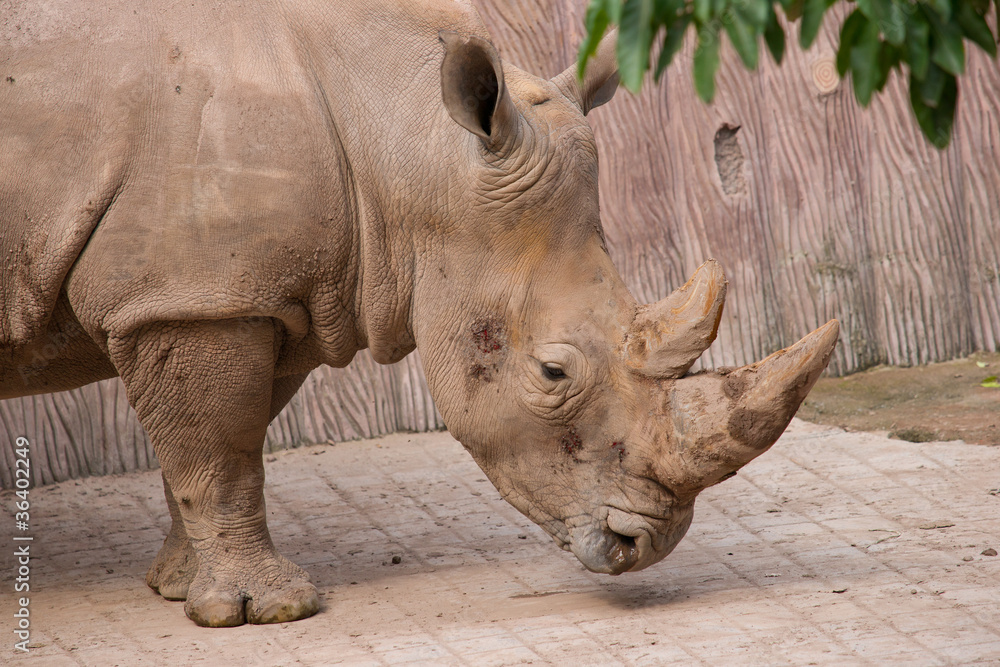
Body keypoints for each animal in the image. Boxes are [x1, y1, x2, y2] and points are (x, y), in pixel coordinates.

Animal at [0, 0, 838, 627]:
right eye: (552, 371)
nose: (646, 544)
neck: (401, 137)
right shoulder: (195, 299)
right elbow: (221, 449)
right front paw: (261, 610)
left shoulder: (253, 295)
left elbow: (222, 440)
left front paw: (178, 584)